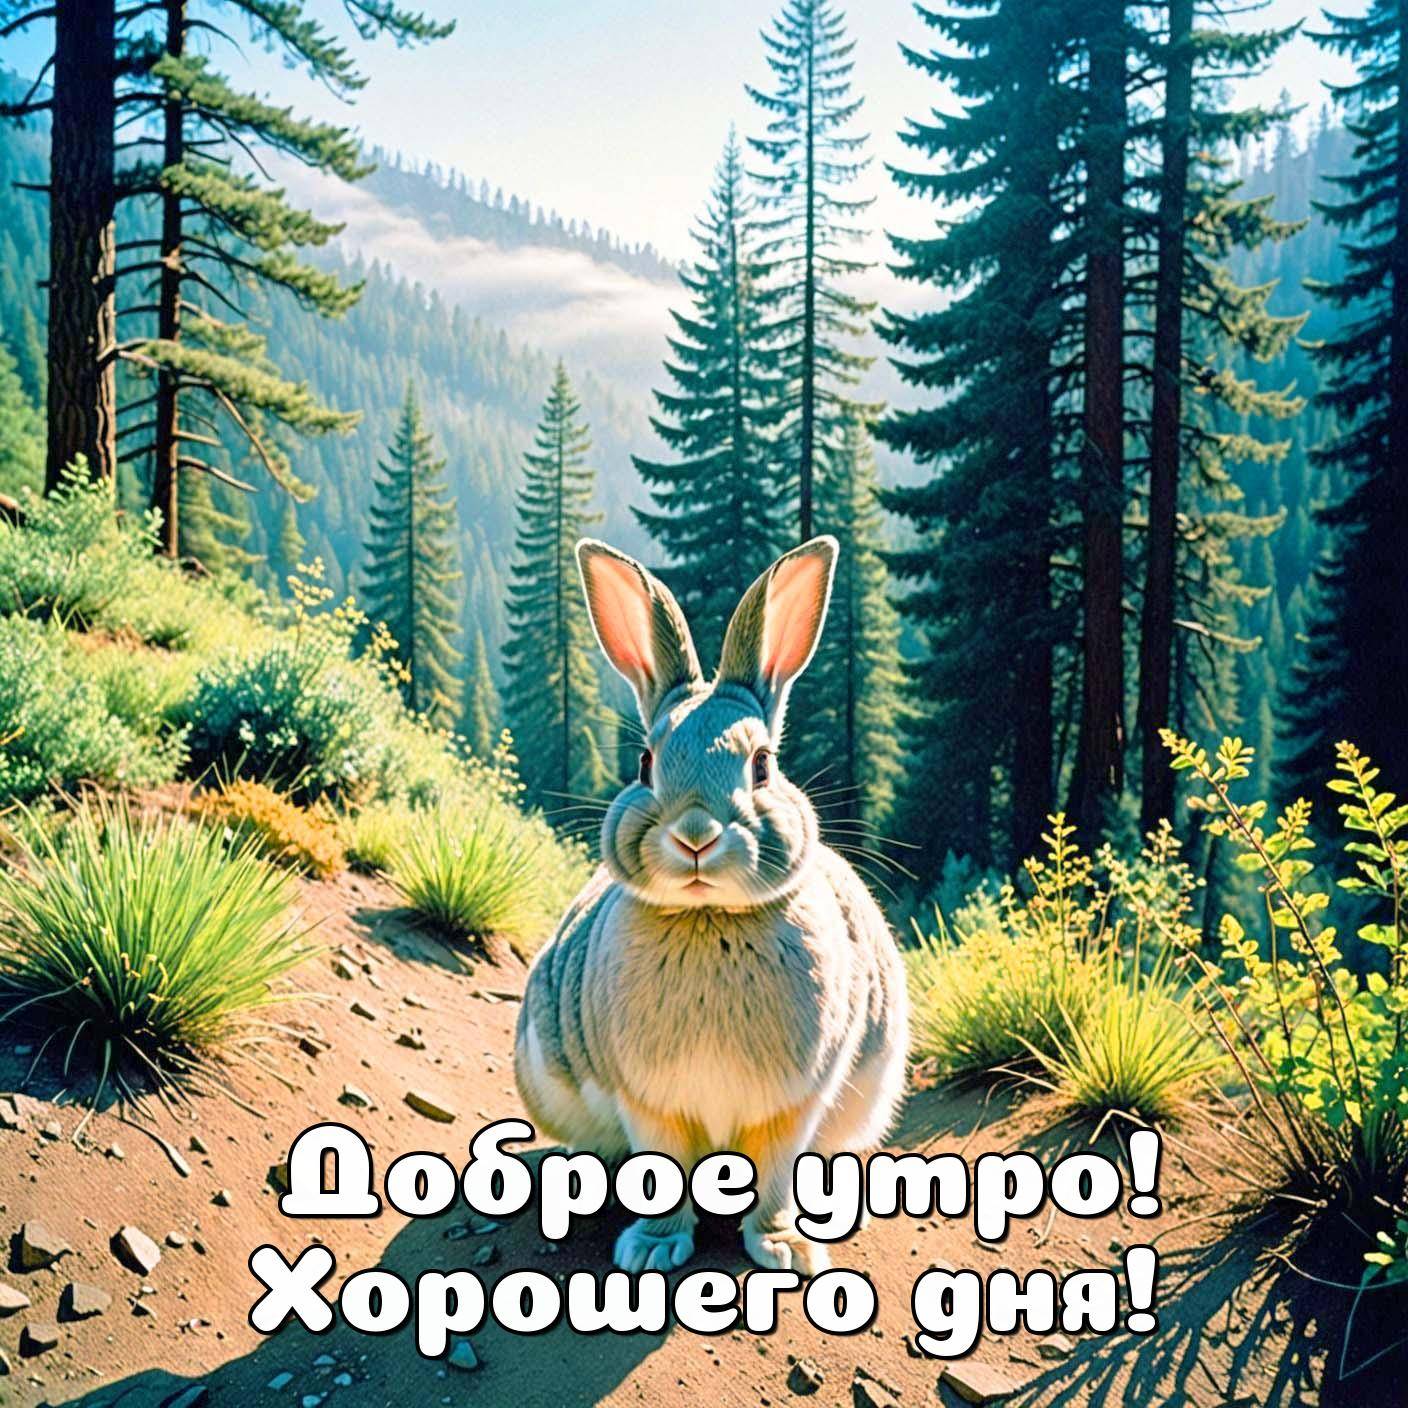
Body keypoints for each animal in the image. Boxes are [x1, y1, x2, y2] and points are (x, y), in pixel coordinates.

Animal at [514, 534, 908, 1277]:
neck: (710, 920)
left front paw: (785, 1250)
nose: (695, 834)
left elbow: (776, 1175)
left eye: (763, 764)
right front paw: (650, 1251)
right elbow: (661, 1169)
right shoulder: (651, 1104)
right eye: (645, 763)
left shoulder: (792, 1104)